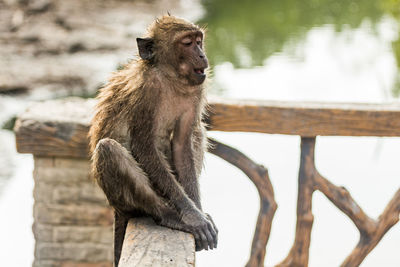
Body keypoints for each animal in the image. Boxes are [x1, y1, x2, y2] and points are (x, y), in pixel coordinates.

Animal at [88, 14, 219, 266]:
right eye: (187, 43)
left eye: (199, 41)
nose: (201, 54)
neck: (170, 78)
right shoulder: (145, 92)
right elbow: (144, 147)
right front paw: (193, 216)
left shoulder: (196, 90)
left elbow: (182, 143)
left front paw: (197, 209)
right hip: (124, 200)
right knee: (109, 149)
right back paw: (167, 215)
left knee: (198, 131)